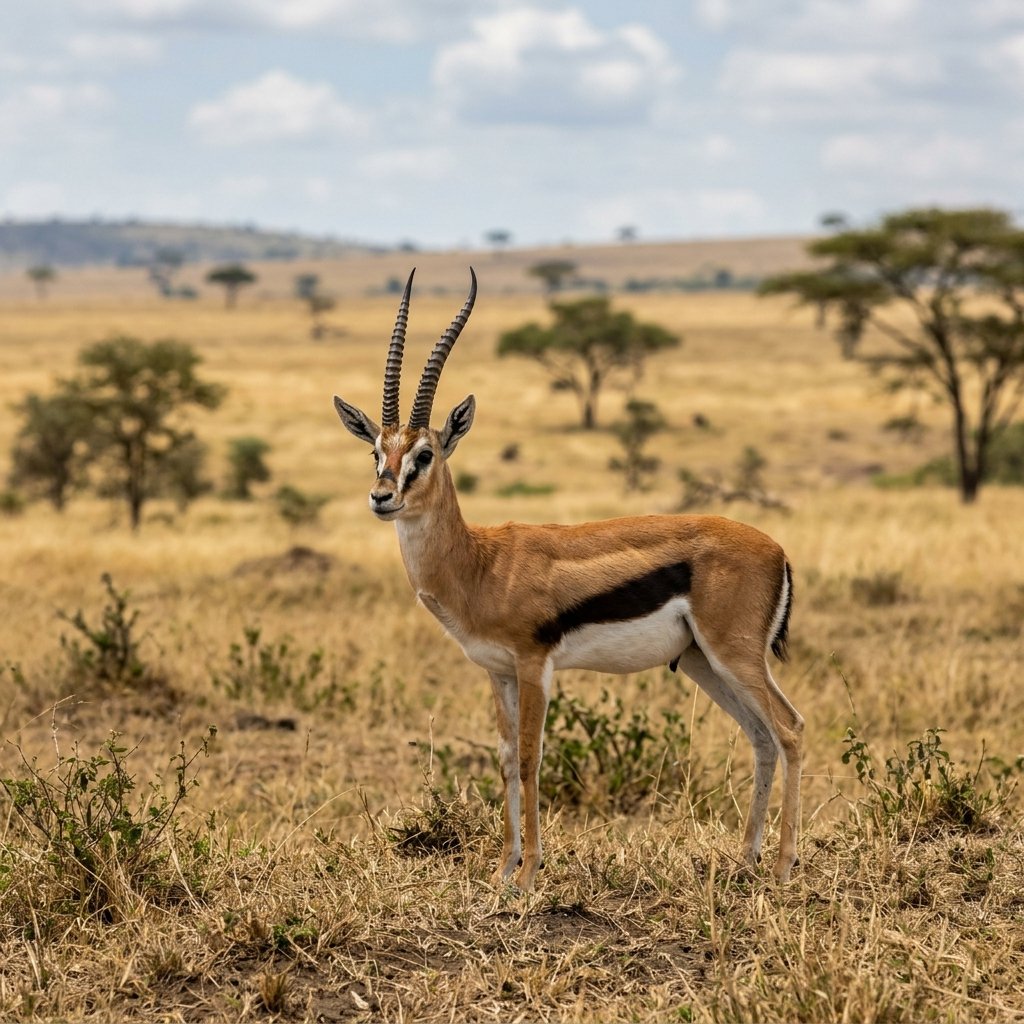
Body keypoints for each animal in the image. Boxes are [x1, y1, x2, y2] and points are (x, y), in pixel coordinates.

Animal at [333, 269, 803, 889]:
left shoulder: (535, 665)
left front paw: (530, 871)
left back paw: (784, 864)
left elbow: (531, 757)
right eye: (375, 451)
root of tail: (778, 550)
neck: (480, 562)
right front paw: (503, 868)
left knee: (790, 728)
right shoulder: (498, 671)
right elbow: (505, 759)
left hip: (736, 654)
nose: (382, 497)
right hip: (703, 662)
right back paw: (745, 858)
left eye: (425, 454)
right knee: (761, 736)